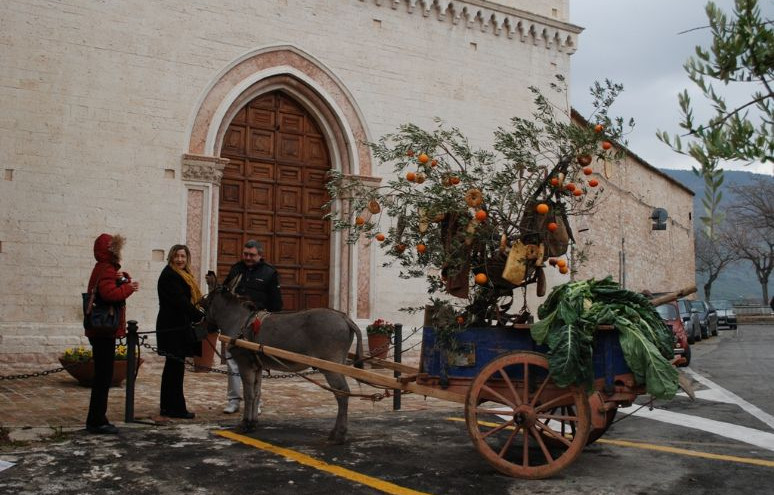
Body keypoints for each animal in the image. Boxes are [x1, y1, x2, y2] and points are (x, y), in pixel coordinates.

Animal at [201, 276, 364, 444]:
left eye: (204, 304)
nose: (203, 329)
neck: (239, 321)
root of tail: (344, 317)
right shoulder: (257, 366)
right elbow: (257, 393)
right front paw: (253, 423)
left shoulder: (245, 365)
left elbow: (249, 395)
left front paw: (245, 424)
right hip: (339, 363)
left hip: (330, 366)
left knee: (342, 393)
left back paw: (339, 434)